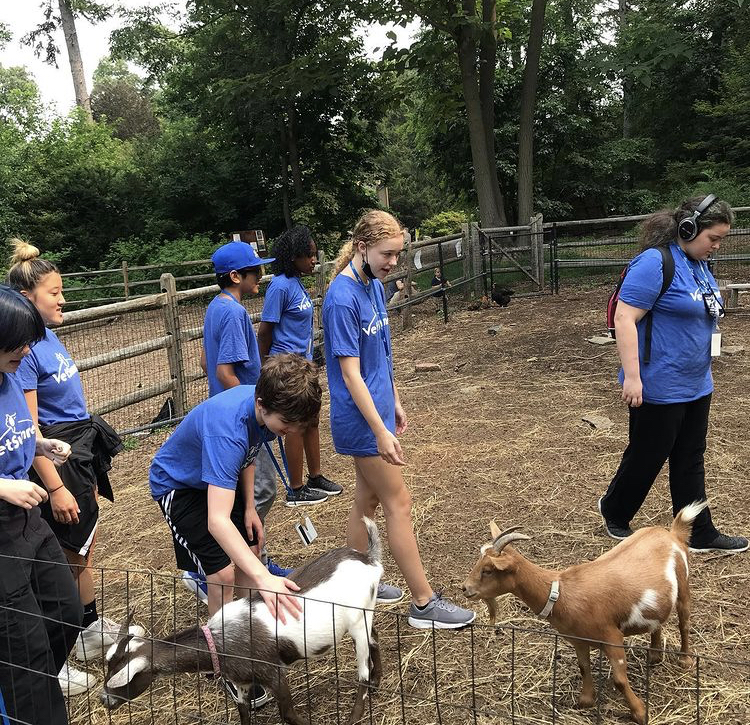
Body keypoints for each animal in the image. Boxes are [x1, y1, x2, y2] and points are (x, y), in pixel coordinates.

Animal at [101, 516, 382, 720]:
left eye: (124, 679)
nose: (104, 699)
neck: (219, 639)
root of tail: (369, 560)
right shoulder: (243, 682)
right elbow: (243, 712)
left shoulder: (273, 672)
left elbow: (288, 715)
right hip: (366, 614)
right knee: (374, 639)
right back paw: (377, 682)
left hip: (358, 623)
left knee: (362, 670)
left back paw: (357, 712)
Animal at [462, 500, 708, 720]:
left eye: (488, 570)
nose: (465, 588)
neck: (560, 592)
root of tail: (672, 533)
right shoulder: (577, 639)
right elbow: (584, 667)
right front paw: (585, 702)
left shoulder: (612, 636)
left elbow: (620, 680)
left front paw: (640, 713)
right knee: (658, 621)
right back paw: (655, 656)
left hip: (683, 584)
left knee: (684, 621)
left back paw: (685, 661)